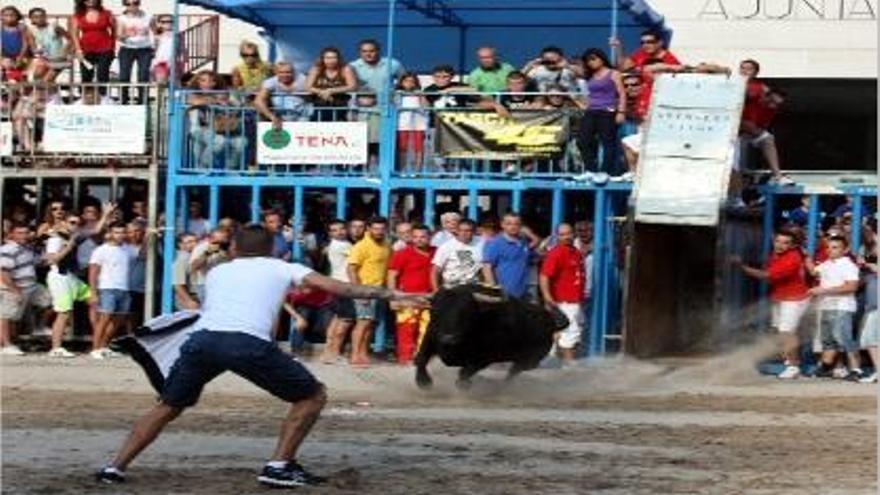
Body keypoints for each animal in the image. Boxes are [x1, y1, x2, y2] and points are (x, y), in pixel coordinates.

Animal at [414, 284, 568, 390]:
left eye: (466, 313)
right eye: (436, 311)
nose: (448, 339)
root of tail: (551, 321)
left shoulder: (484, 359)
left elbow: (465, 372)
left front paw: (464, 384)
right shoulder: (430, 336)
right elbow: (421, 358)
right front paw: (424, 383)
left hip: (529, 361)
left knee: (513, 372)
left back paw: (499, 387)